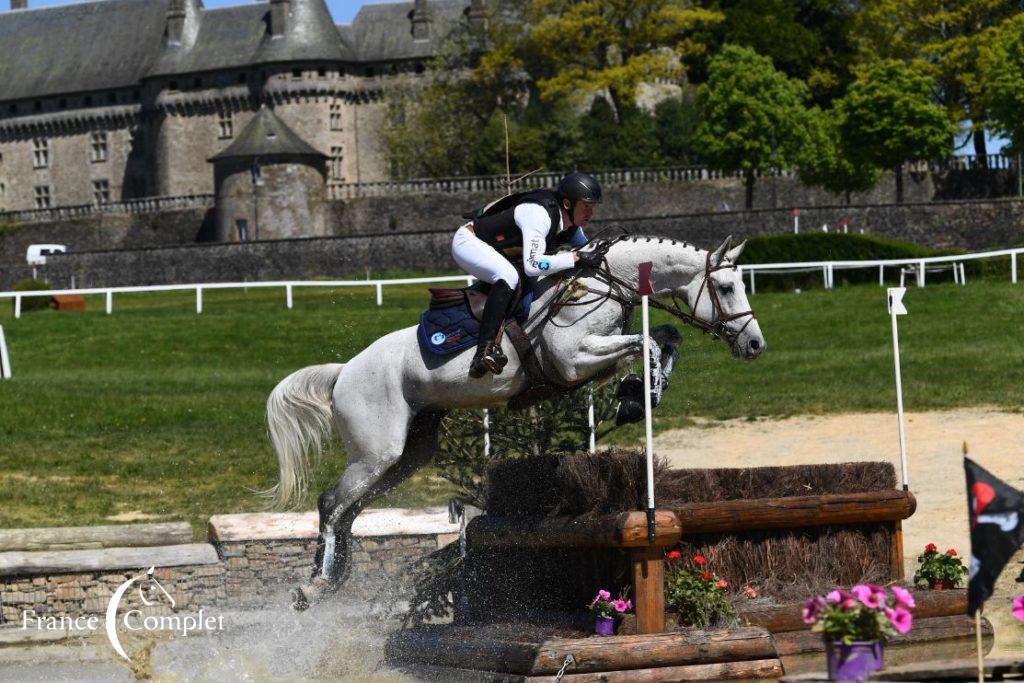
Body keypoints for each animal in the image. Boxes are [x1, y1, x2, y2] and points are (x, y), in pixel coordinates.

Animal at [268, 235, 765, 610]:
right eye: (725, 288)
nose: (755, 345)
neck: (603, 284)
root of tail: (343, 372)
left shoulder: (596, 356)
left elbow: (664, 336)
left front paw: (637, 395)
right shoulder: (573, 360)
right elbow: (648, 341)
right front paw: (641, 394)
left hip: (408, 455)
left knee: (350, 509)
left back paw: (336, 577)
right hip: (377, 450)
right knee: (331, 503)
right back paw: (312, 586)